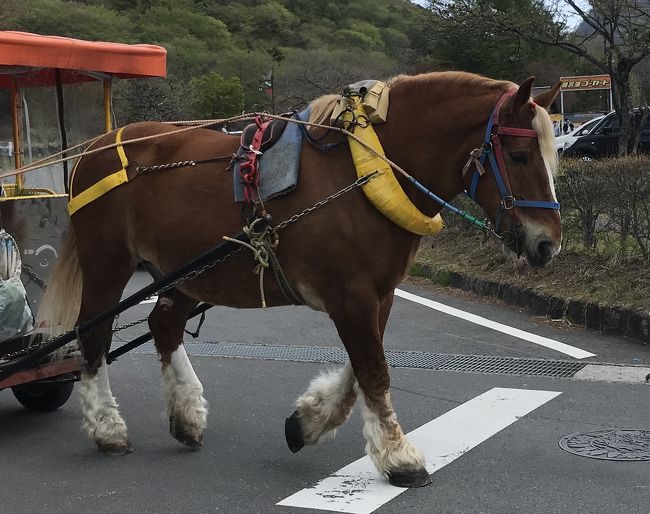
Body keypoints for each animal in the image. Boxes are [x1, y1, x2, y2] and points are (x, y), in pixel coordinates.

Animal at [38, 71, 560, 484]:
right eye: (518, 155)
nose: (548, 244)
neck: (365, 174)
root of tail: (95, 146)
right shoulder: (351, 295)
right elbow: (373, 369)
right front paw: (399, 456)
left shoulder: (377, 294)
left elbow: (360, 370)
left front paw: (308, 423)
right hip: (109, 262)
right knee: (94, 334)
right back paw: (108, 428)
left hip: (187, 270)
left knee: (162, 325)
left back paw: (186, 417)